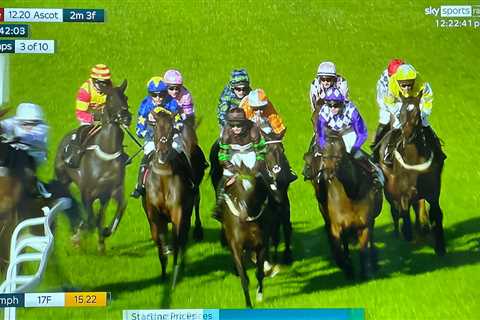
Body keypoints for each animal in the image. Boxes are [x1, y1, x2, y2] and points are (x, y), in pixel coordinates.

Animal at [54, 81, 131, 254]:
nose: (126, 117)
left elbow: (119, 208)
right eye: (110, 99)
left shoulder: (113, 190)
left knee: (99, 214)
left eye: (125, 97)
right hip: (63, 178)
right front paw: (77, 237)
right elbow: (90, 219)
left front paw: (105, 233)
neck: (106, 155)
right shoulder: (87, 193)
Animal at [142, 108, 195, 288]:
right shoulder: (154, 215)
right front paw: (164, 273)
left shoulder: (178, 211)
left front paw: (175, 274)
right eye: (155, 127)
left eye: (172, 129)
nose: (163, 153)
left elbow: (177, 238)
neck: (163, 178)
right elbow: (159, 242)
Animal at [220, 164, 270, 306]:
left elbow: (259, 273)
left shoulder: (261, 244)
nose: (243, 216)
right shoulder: (236, 246)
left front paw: (259, 296)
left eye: (254, 192)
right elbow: (244, 278)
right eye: (237, 191)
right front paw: (248, 304)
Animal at [312, 132, 382, 278]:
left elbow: (364, 249)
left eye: (340, 152)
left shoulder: (364, 224)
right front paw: (347, 267)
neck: (351, 192)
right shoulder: (336, 225)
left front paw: (367, 272)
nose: (328, 173)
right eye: (323, 152)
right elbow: (338, 248)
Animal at [378, 95, 446, 255]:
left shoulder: (432, 192)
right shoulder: (403, 192)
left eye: (417, 113)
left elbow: (436, 214)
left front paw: (440, 246)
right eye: (401, 113)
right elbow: (405, 215)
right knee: (395, 211)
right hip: (389, 190)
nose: (407, 135)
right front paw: (408, 232)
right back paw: (398, 233)